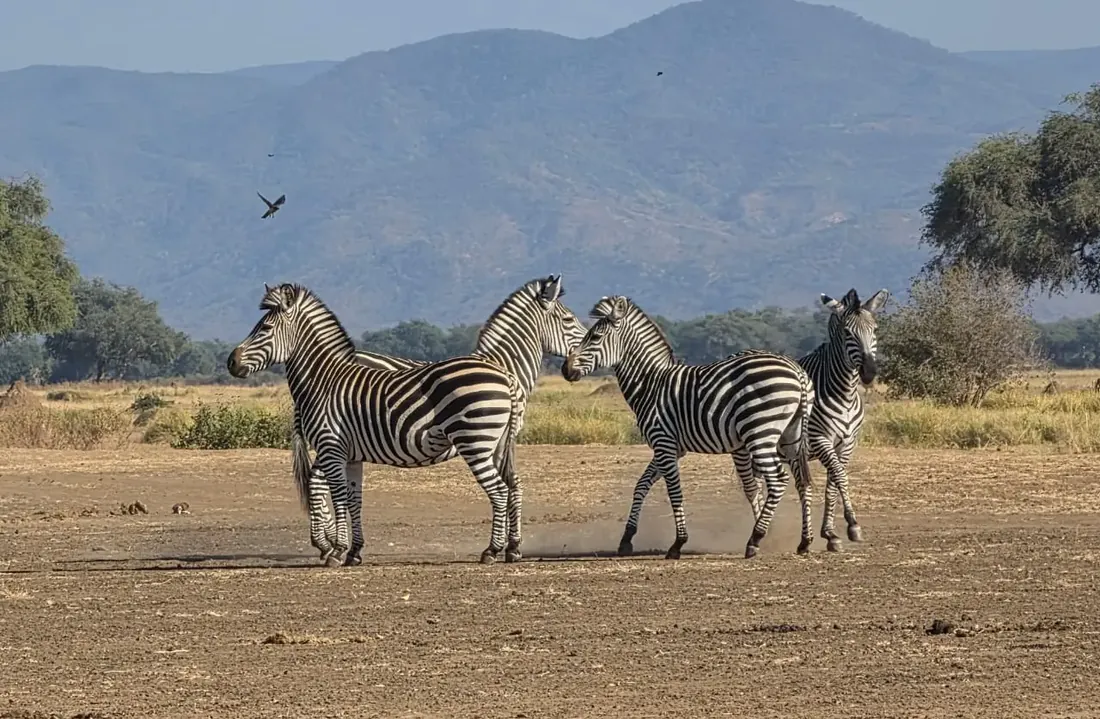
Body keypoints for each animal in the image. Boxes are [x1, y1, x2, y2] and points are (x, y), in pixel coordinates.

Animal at [227, 282, 526, 567]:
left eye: (264, 328)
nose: (231, 362)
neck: (323, 381)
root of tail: (505, 374)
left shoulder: (331, 447)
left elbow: (339, 497)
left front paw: (337, 551)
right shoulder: (350, 455)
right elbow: (354, 500)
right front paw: (354, 552)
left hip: (475, 442)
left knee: (499, 490)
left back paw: (492, 550)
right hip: (496, 444)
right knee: (510, 486)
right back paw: (510, 549)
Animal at [291, 274, 587, 566]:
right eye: (569, 320)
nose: (571, 369)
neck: (501, 365)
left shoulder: (502, 441)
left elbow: (513, 484)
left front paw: (511, 546)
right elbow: (511, 485)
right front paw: (508, 546)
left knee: (316, 480)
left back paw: (328, 544)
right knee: (318, 481)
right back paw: (327, 545)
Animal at [560, 295, 816, 559]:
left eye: (595, 337)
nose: (565, 369)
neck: (651, 384)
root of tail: (796, 371)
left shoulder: (663, 443)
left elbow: (674, 492)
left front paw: (678, 543)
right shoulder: (669, 447)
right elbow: (641, 485)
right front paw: (627, 538)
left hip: (761, 434)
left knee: (778, 480)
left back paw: (755, 539)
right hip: (790, 437)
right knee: (802, 482)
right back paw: (804, 542)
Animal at [735, 288, 888, 552]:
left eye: (875, 330)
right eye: (847, 333)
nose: (869, 373)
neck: (845, 393)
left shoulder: (847, 443)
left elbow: (832, 484)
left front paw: (830, 534)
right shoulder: (819, 439)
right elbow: (840, 476)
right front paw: (852, 525)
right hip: (744, 446)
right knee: (751, 486)